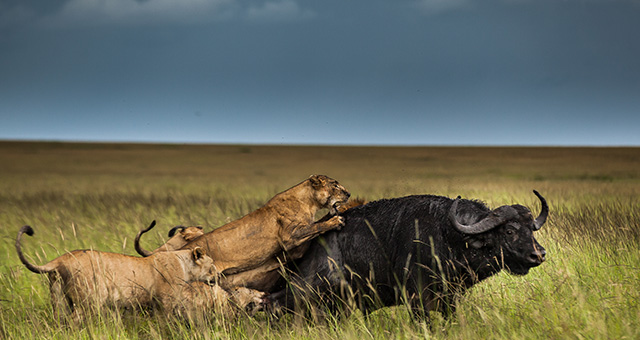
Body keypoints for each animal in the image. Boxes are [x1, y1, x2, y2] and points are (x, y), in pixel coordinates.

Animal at [15, 224, 220, 322]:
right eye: (211, 265)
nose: (218, 276)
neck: (184, 263)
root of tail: (59, 259)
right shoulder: (166, 303)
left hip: (59, 300)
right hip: (89, 301)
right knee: (75, 321)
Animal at [179, 175, 350, 292]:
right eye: (335, 185)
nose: (348, 194)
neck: (309, 202)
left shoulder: (293, 250)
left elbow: (317, 223)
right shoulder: (289, 239)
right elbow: (316, 226)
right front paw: (335, 221)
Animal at [272, 190, 548, 318]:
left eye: (531, 228)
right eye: (510, 231)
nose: (539, 255)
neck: (447, 237)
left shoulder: (449, 300)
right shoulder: (417, 300)